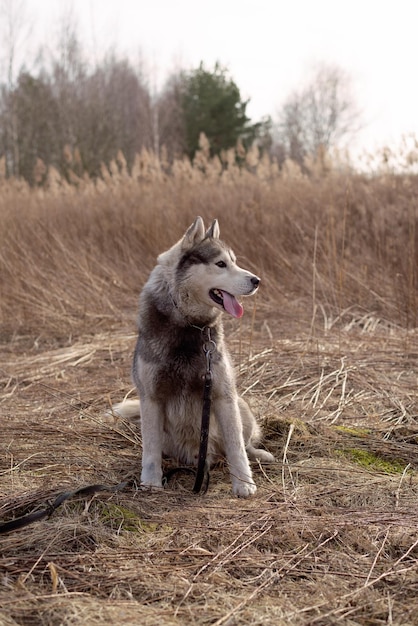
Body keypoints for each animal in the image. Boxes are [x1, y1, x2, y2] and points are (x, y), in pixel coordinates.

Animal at [113, 217, 274, 494]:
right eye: (220, 264)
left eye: (235, 261)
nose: (257, 280)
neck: (190, 326)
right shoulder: (151, 398)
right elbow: (150, 449)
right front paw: (151, 482)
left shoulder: (222, 393)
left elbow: (236, 448)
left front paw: (244, 484)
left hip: (240, 405)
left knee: (244, 444)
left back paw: (259, 455)